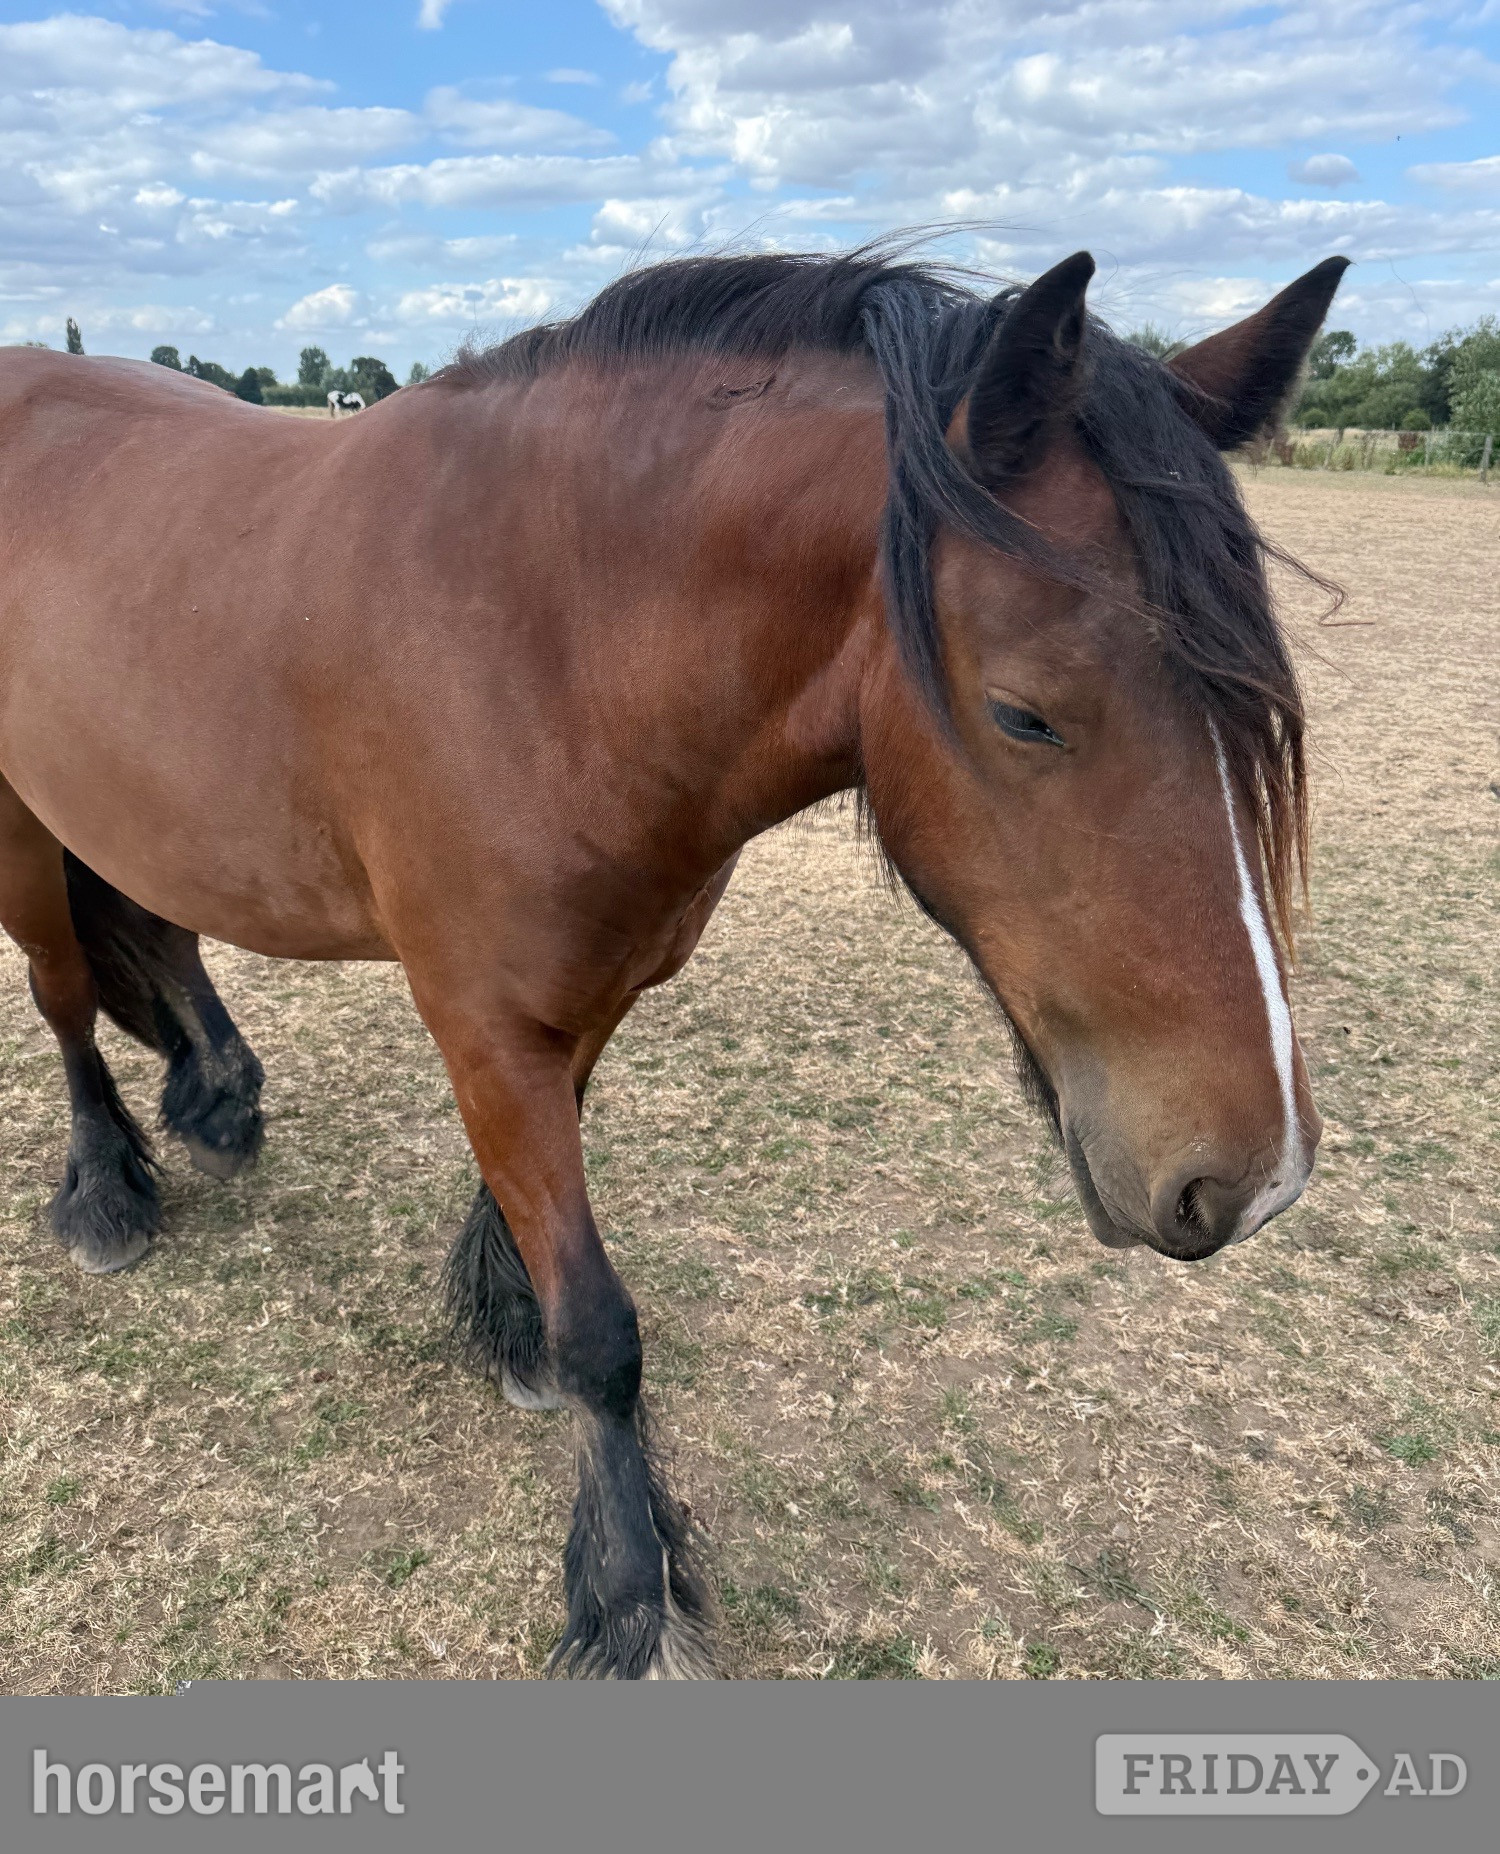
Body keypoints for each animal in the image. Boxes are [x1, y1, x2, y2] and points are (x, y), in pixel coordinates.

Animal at [0, 243, 1347, 1677]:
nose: (1250, 1178)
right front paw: (627, 1592)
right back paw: (106, 1191)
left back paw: (216, 1096)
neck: (545, 628)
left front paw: (507, 1319)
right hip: (22, 831)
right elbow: (604, 1331)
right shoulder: (484, 1027)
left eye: (1261, 714)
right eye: (1025, 714)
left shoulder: (583, 1003)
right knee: (66, 996)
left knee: (163, 927)